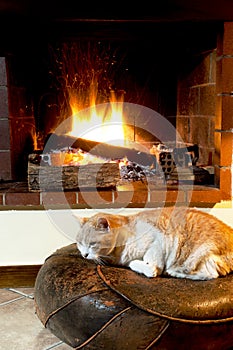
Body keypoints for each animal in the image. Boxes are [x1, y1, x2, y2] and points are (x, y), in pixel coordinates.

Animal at [75, 206, 233, 280]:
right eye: (80, 244)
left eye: (92, 244)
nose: (84, 255)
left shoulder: (158, 240)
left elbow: (151, 266)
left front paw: (149, 267)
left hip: (198, 256)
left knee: (210, 275)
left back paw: (173, 272)